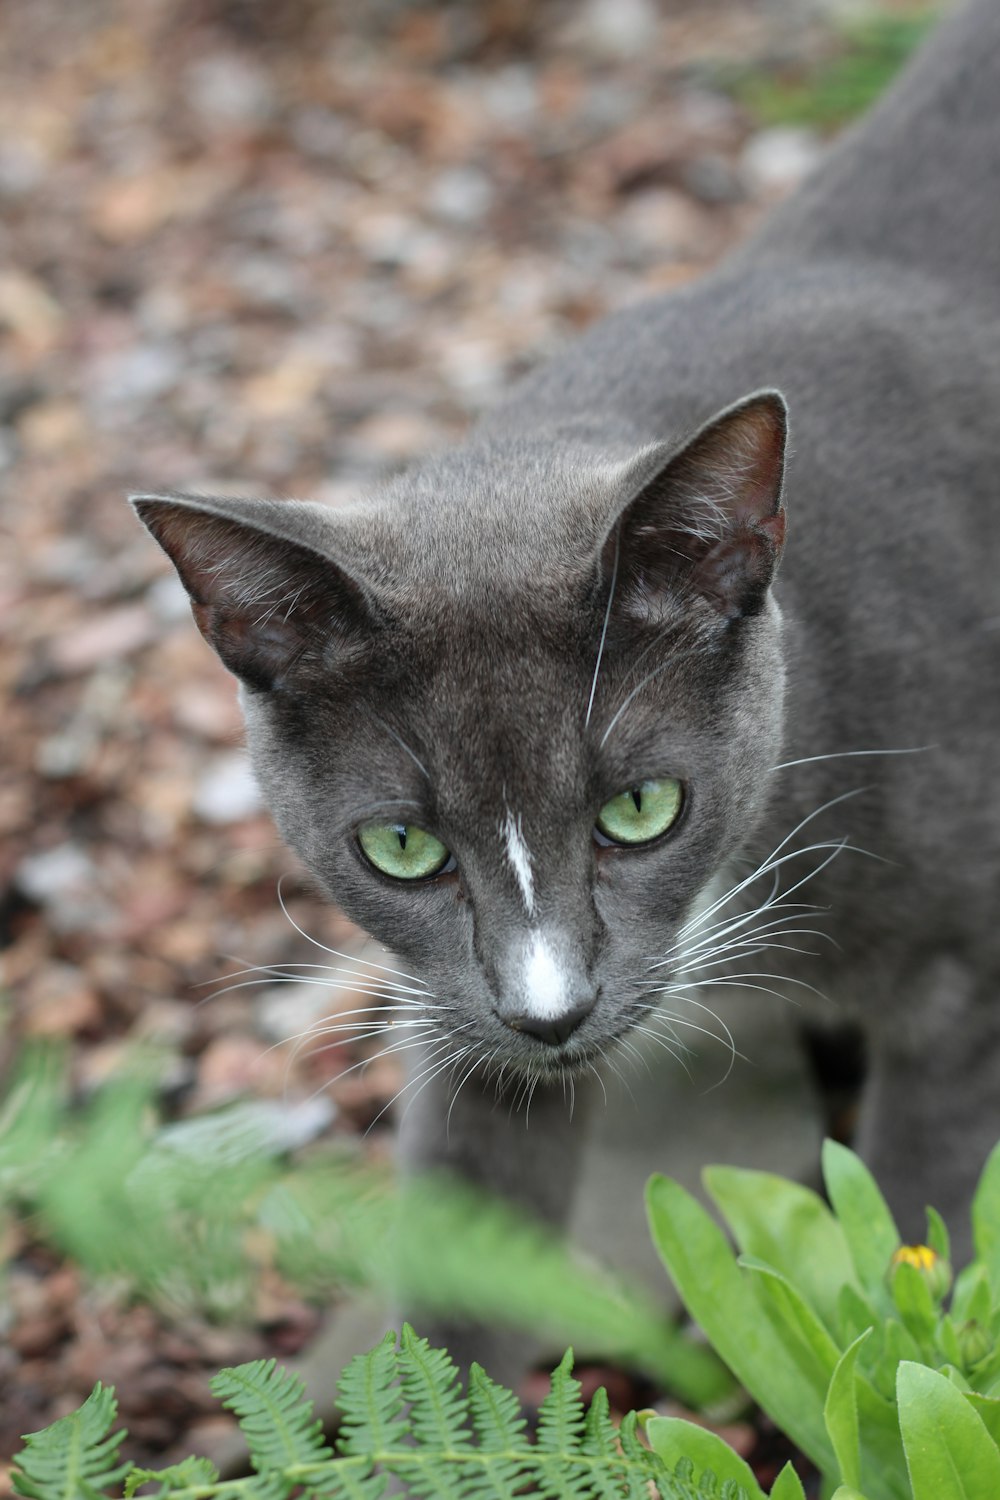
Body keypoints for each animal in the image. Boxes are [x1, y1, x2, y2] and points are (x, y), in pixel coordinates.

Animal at [134, 0, 1000, 1374]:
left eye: (640, 811)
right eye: (399, 847)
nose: (551, 1014)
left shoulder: (966, 975)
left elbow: (926, 1228)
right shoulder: (459, 1022)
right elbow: (466, 1247)